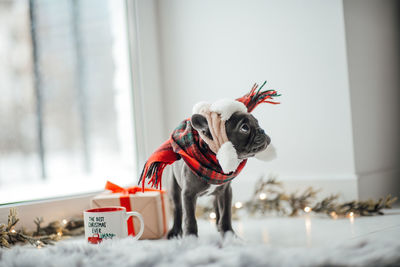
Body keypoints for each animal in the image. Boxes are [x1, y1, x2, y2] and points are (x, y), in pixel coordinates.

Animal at [166, 111, 272, 239]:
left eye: (257, 122)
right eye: (244, 128)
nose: (262, 130)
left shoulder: (226, 191)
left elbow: (226, 213)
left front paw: (228, 234)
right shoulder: (188, 194)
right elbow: (190, 218)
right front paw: (191, 237)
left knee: (216, 205)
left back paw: (218, 226)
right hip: (174, 186)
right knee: (177, 208)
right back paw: (175, 231)